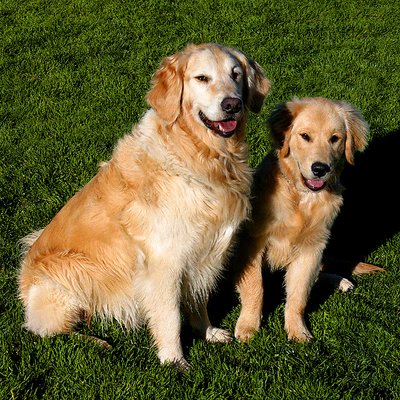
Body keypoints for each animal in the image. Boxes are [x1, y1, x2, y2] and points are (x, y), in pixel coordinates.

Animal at [18, 43, 268, 368]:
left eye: (236, 74)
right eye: (201, 78)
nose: (232, 105)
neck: (201, 156)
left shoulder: (201, 252)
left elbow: (198, 300)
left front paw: (207, 332)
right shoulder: (164, 261)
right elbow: (170, 317)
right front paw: (174, 361)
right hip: (68, 278)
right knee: (47, 330)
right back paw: (98, 342)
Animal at [234, 97, 384, 344]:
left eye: (335, 138)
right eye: (305, 136)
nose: (320, 168)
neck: (302, 198)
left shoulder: (311, 249)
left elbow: (299, 296)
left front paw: (298, 331)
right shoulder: (252, 244)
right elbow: (255, 288)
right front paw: (248, 326)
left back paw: (341, 281)